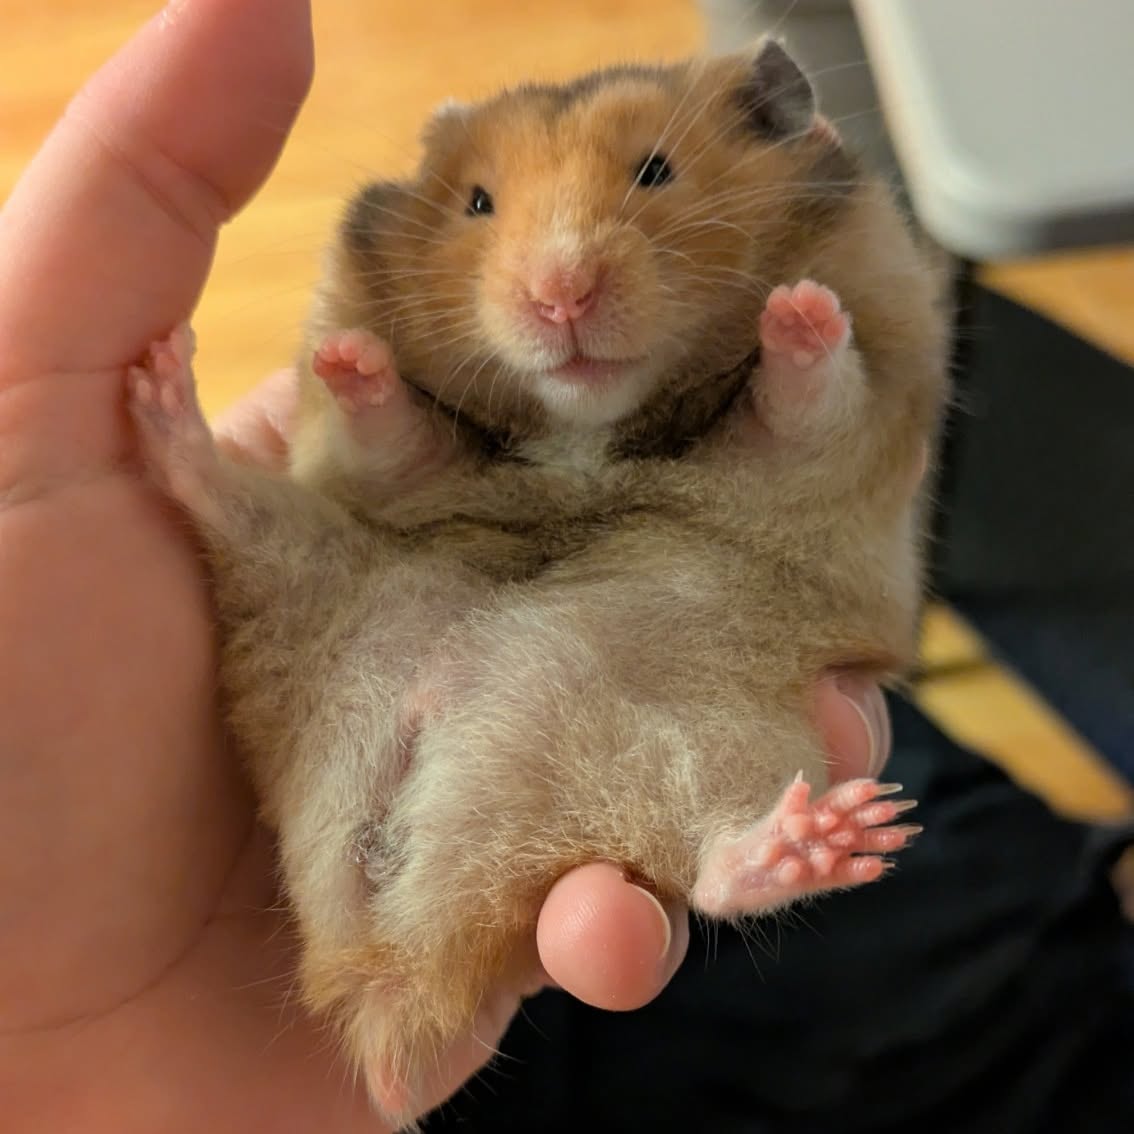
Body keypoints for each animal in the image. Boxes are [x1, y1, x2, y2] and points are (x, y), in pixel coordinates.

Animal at [125, 39, 948, 1129]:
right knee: (222, 501)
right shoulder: (383, 478)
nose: (560, 297)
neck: (585, 432)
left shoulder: (840, 445)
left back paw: (833, 836)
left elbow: (811, 395)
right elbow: (392, 432)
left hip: (716, 737)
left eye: (656, 172)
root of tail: (388, 961)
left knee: (714, 867)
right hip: (305, 562)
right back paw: (160, 392)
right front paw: (350, 358)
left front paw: (795, 310)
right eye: (477, 203)